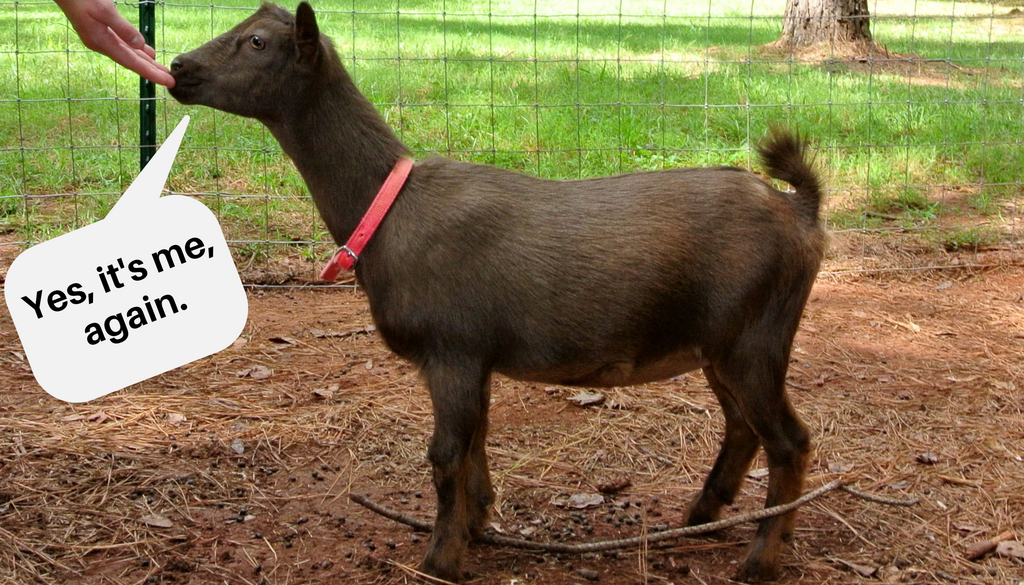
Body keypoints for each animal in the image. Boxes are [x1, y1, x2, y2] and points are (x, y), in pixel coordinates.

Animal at [169, 3, 826, 582]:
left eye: (256, 41)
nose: (178, 66)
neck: (389, 211)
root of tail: (802, 212)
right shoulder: (473, 358)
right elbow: (476, 444)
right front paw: (479, 524)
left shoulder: (450, 349)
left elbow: (445, 456)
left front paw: (441, 560)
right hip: (721, 346)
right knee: (743, 430)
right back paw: (700, 516)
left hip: (754, 340)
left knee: (790, 442)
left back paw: (761, 560)